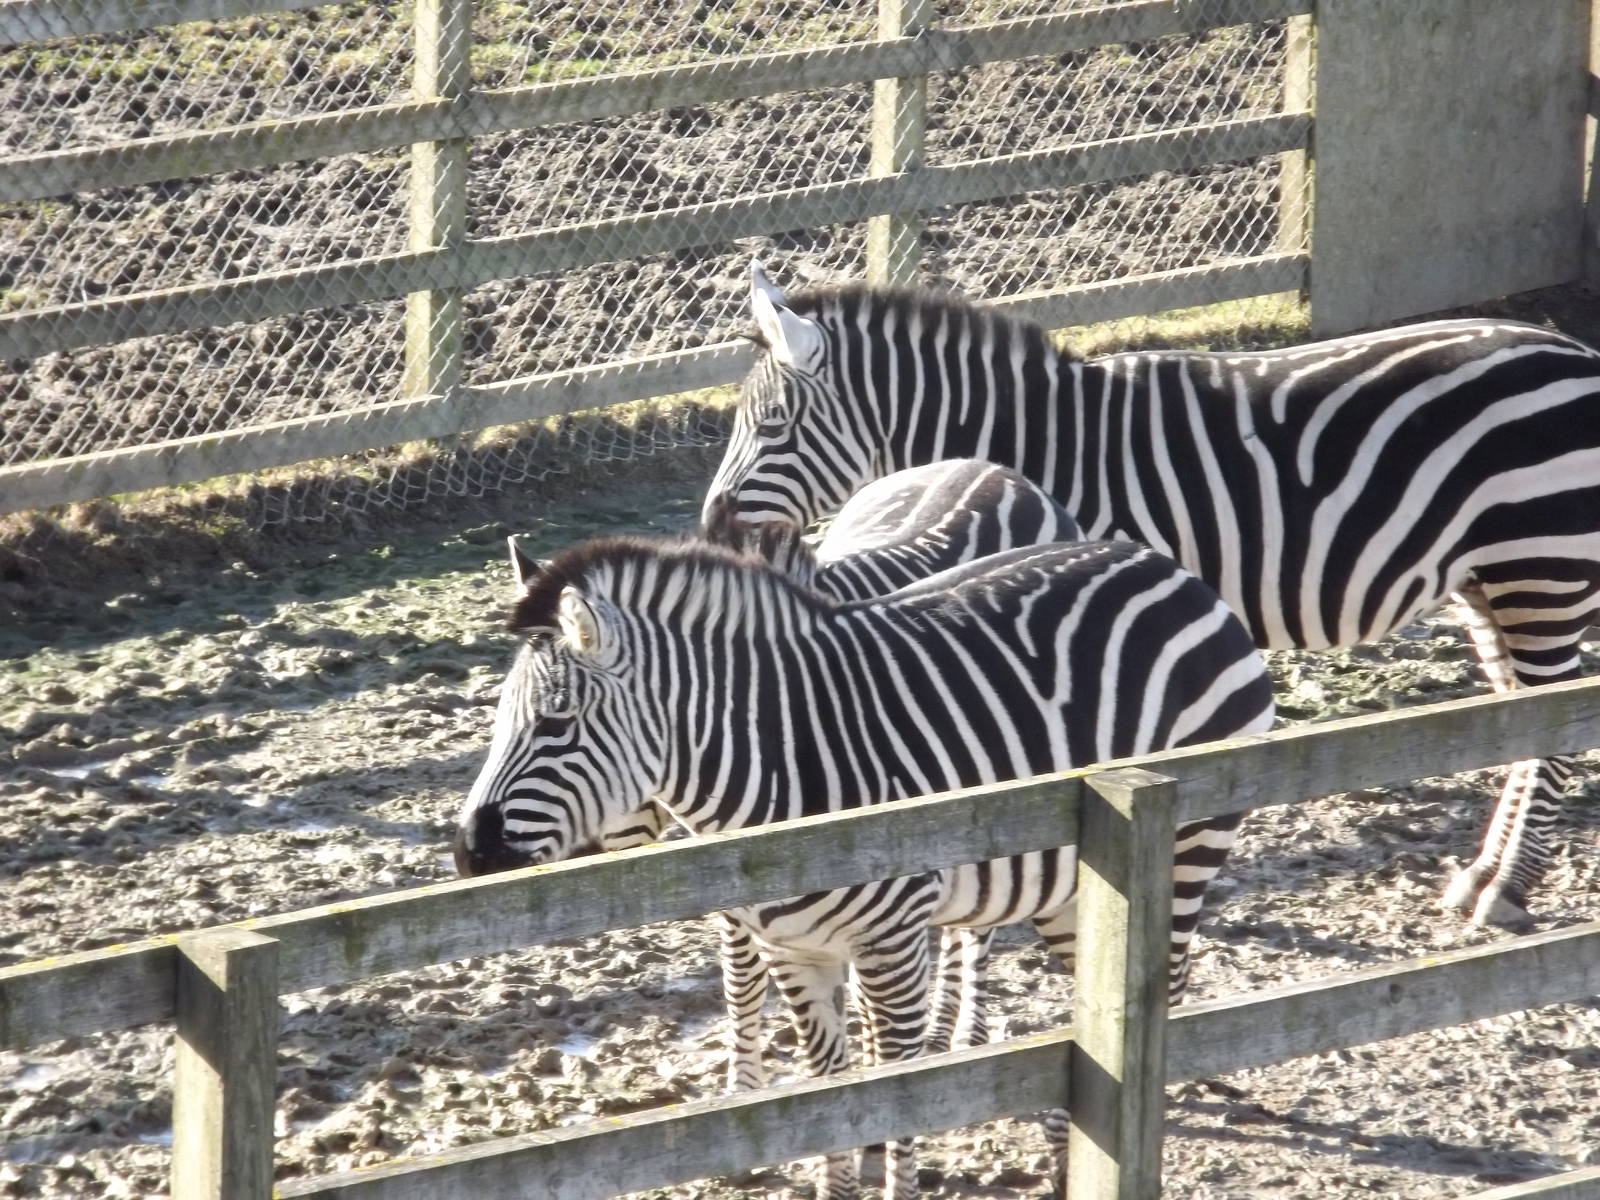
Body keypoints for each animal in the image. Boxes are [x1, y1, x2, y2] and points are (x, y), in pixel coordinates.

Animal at [455, 534, 1274, 1197]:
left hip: (1188, 844)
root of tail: (1169, 568)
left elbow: (892, 1089)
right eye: (498, 720)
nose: (467, 852)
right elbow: (831, 1089)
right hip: (1076, 887)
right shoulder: (794, 950)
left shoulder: (892, 943)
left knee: (1166, 984)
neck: (780, 765)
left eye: (555, 724)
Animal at [705, 260, 1600, 928]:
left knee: (1555, 718)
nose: (713, 526)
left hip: (1541, 565)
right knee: (1514, 718)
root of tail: (1576, 354)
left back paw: (1508, 888)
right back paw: (1485, 872)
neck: (1043, 444)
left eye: (774, 425)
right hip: (1487, 578)